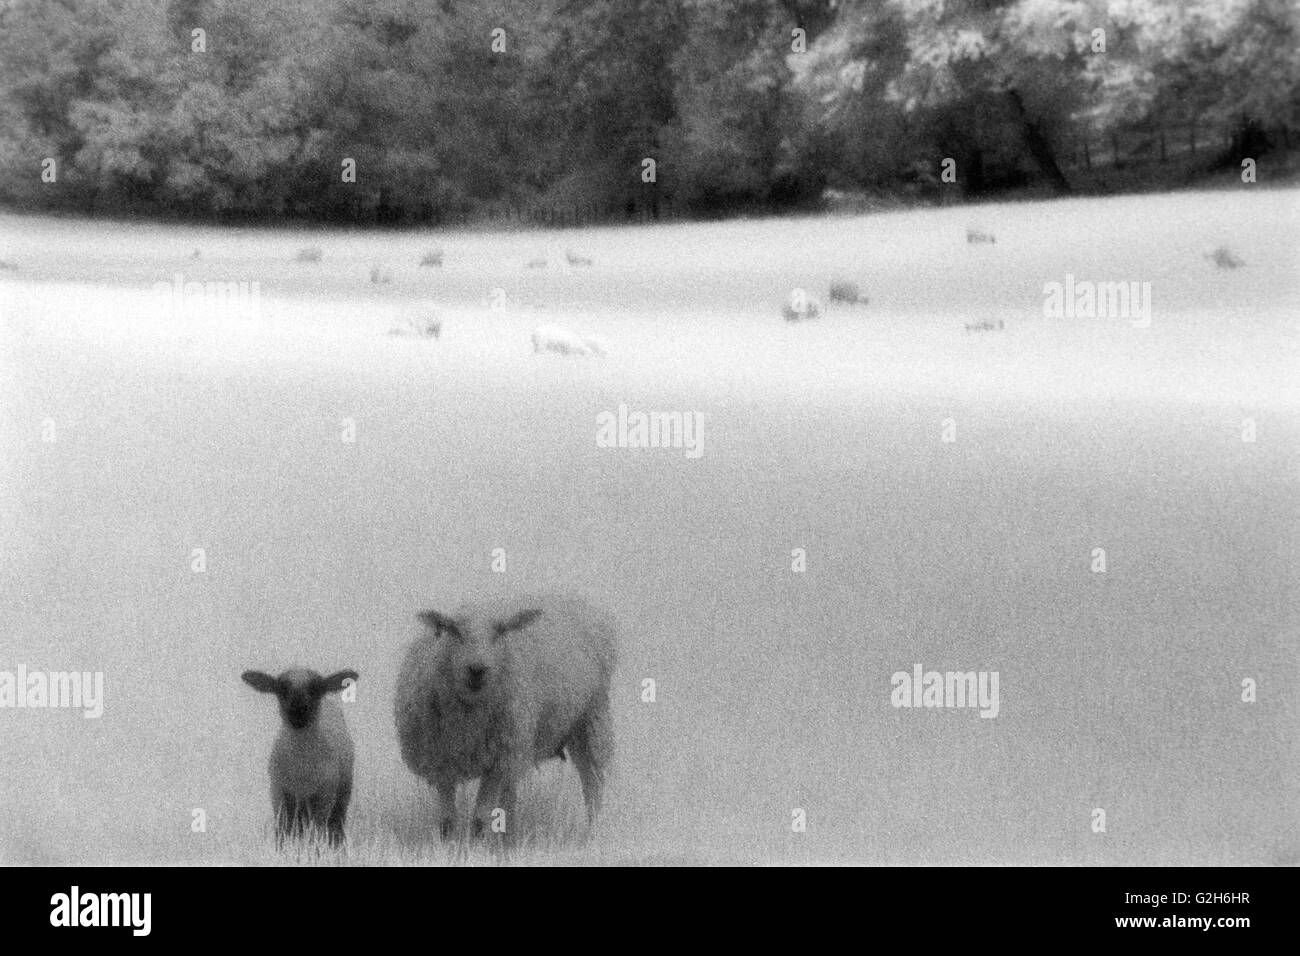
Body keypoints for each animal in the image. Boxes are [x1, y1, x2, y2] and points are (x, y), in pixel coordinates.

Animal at [239, 671, 358, 848]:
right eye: (282, 687)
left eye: (316, 687)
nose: (298, 710)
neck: (301, 767)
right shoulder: (279, 793)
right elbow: (282, 832)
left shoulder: (324, 797)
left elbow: (316, 834)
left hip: (341, 796)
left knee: (335, 828)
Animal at [392, 598, 616, 842]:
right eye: (454, 630)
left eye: (500, 632)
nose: (477, 669)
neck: (469, 722)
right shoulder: (441, 762)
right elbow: (447, 822)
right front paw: (447, 846)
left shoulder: (496, 763)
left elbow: (480, 820)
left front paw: (475, 846)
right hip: (518, 747)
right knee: (510, 796)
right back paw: (508, 840)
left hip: (591, 720)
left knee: (593, 783)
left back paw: (592, 833)